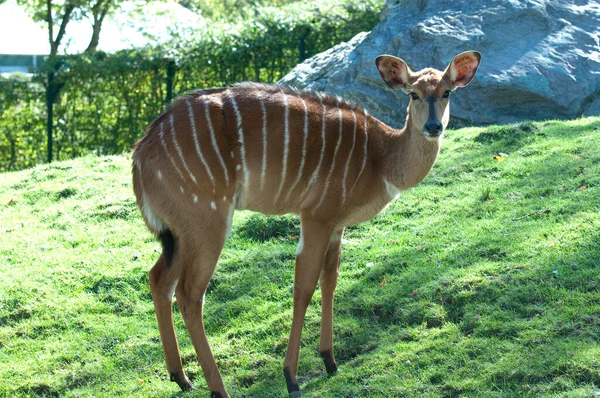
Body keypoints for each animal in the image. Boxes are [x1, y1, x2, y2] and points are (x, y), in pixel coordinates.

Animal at [131, 51, 482, 396]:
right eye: (414, 94)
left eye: (446, 92)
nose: (434, 127)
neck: (381, 156)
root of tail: (140, 155)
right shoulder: (316, 216)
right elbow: (304, 287)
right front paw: (291, 377)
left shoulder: (337, 226)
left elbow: (330, 281)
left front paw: (330, 360)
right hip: (207, 222)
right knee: (190, 294)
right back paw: (218, 389)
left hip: (181, 232)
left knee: (159, 279)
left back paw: (181, 377)